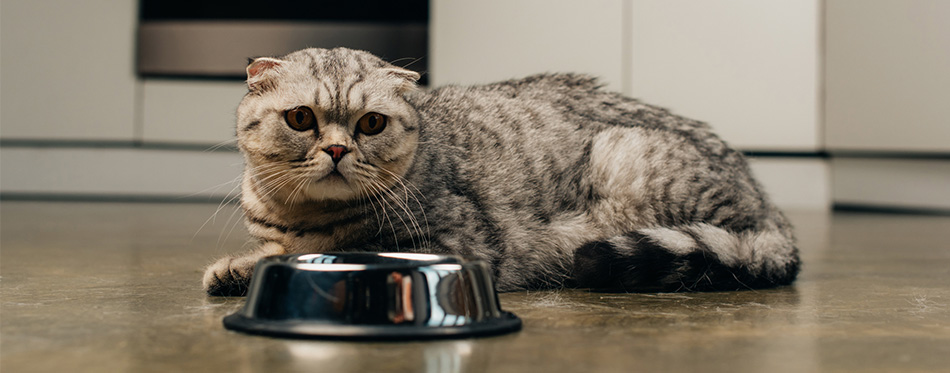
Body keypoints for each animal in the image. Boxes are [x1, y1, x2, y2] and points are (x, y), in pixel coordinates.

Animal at [203, 47, 804, 296]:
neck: (301, 216)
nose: (335, 150)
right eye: (301, 119)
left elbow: (344, 252)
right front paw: (239, 266)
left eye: (371, 123)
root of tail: (771, 209)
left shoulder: (451, 244)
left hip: (626, 155)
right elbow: (278, 253)